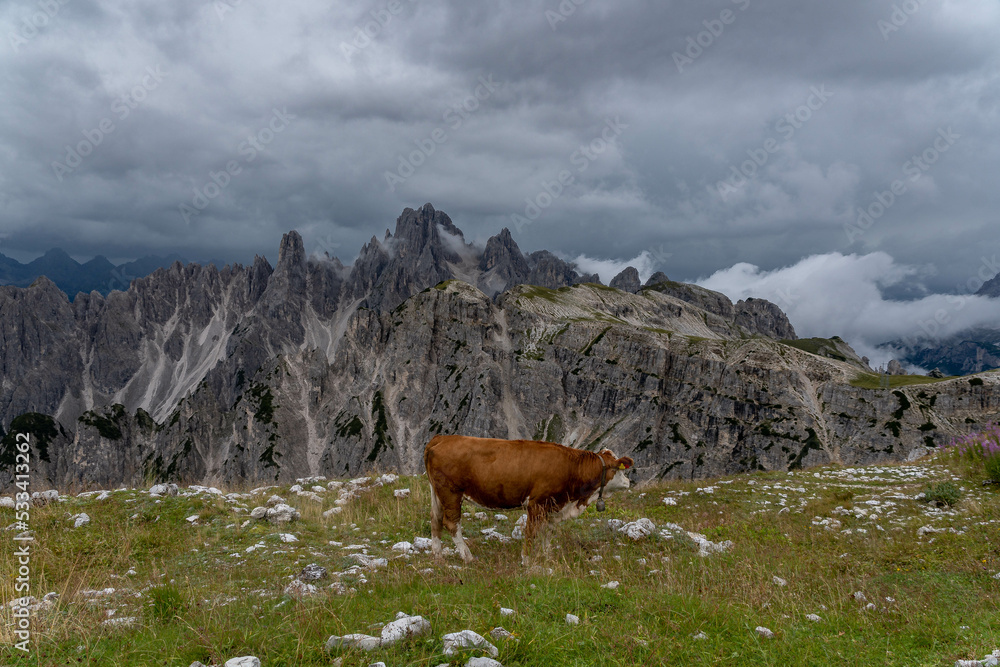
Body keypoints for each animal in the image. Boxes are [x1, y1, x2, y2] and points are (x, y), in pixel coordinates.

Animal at [424, 438, 632, 564]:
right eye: (619, 470)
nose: (629, 482)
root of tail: (444, 437)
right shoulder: (536, 503)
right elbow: (531, 532)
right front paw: (526, 560)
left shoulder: (552, 505)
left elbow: (548, 532)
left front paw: (547, 556)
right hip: (451, 492)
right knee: (451, 523)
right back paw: (467, 557)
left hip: (437, 493)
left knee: (435, 520)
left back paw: (438, 556)